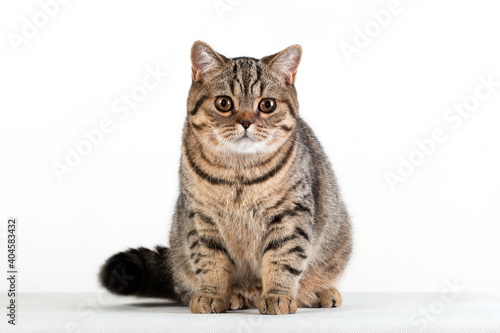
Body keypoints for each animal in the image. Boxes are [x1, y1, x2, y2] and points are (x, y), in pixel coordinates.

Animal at [99, 40, 352, 312]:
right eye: (224, 103)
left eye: (267, 105)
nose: (246, 122)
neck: (239, 173)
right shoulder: (201, 218)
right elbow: (210, 262)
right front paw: (213, 294)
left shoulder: (291, 214)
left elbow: (283, 258)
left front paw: (278, 295)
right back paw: (236, 295)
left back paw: (319, 293)